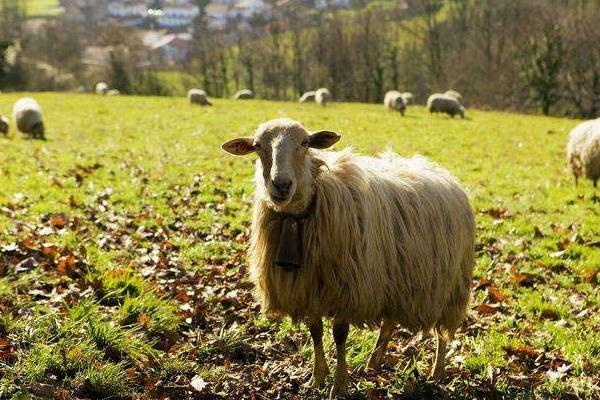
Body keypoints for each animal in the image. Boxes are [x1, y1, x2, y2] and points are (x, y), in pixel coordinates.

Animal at [220, 118, 474, 396]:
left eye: (305, 143)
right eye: (257, 146)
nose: (281, 185)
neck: (299, 215)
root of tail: (441, 172)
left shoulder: (347, 287)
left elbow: (339, 334)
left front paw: (339, 384)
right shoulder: (308, 287)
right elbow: (316, 331)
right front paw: (317, 377)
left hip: (449, 284)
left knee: (442, 332)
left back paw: (437, 373)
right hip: (395, 276)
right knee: (389, 322)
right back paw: (374, 363)